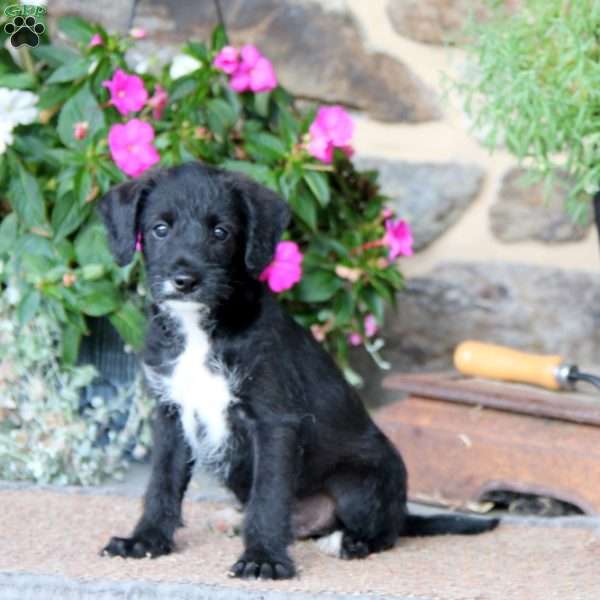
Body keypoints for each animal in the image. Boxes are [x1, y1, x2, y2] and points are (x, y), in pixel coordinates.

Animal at [97, 162, 496, 580]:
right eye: (160, 228)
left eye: (221, 232)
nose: (185, 281)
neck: (202, 329)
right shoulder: (171, 414)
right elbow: (163, 482)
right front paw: (146, 541)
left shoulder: (274, 422)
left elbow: (269, 495)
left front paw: (263, 558)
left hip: (358, 481)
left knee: (384, 533)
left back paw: (347, 543)